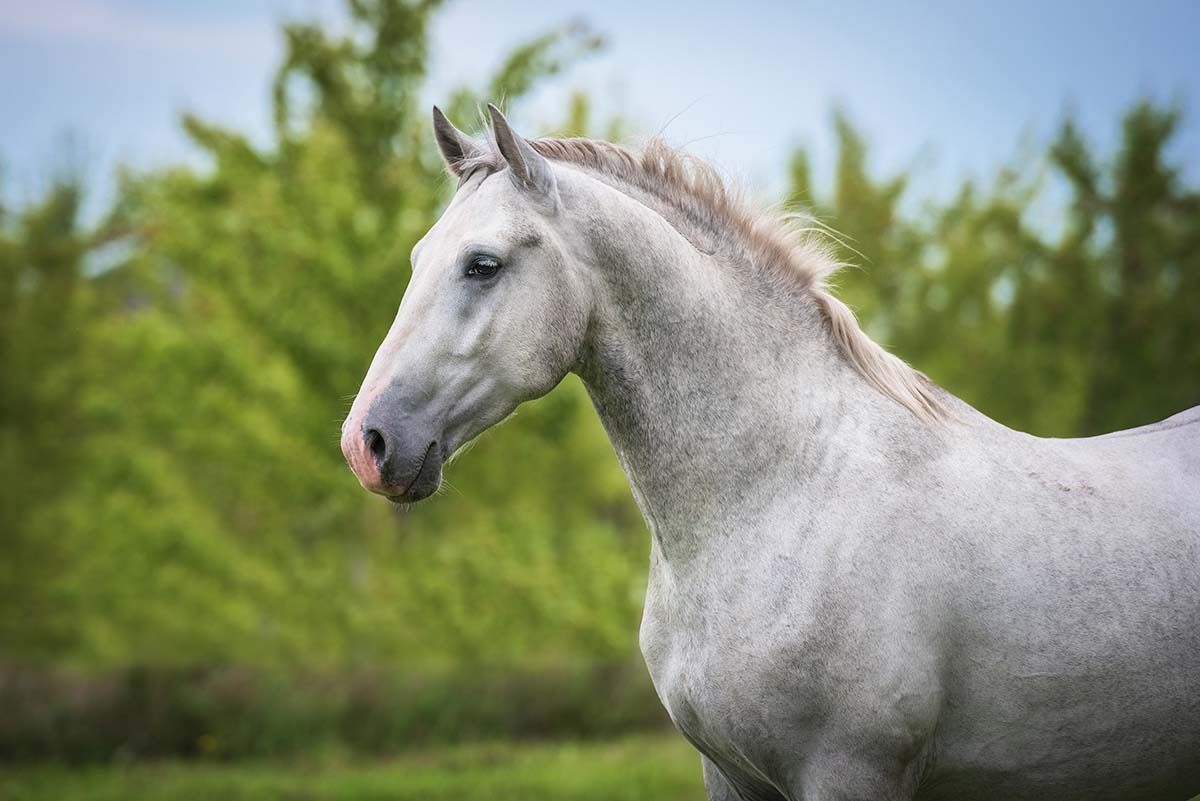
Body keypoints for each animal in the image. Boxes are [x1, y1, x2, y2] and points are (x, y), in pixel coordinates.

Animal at [340, 104, 1200, 801]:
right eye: (417, 259)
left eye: (482, 264)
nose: (366, 444)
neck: (780, 497)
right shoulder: (729, 773)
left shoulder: (848, 772)